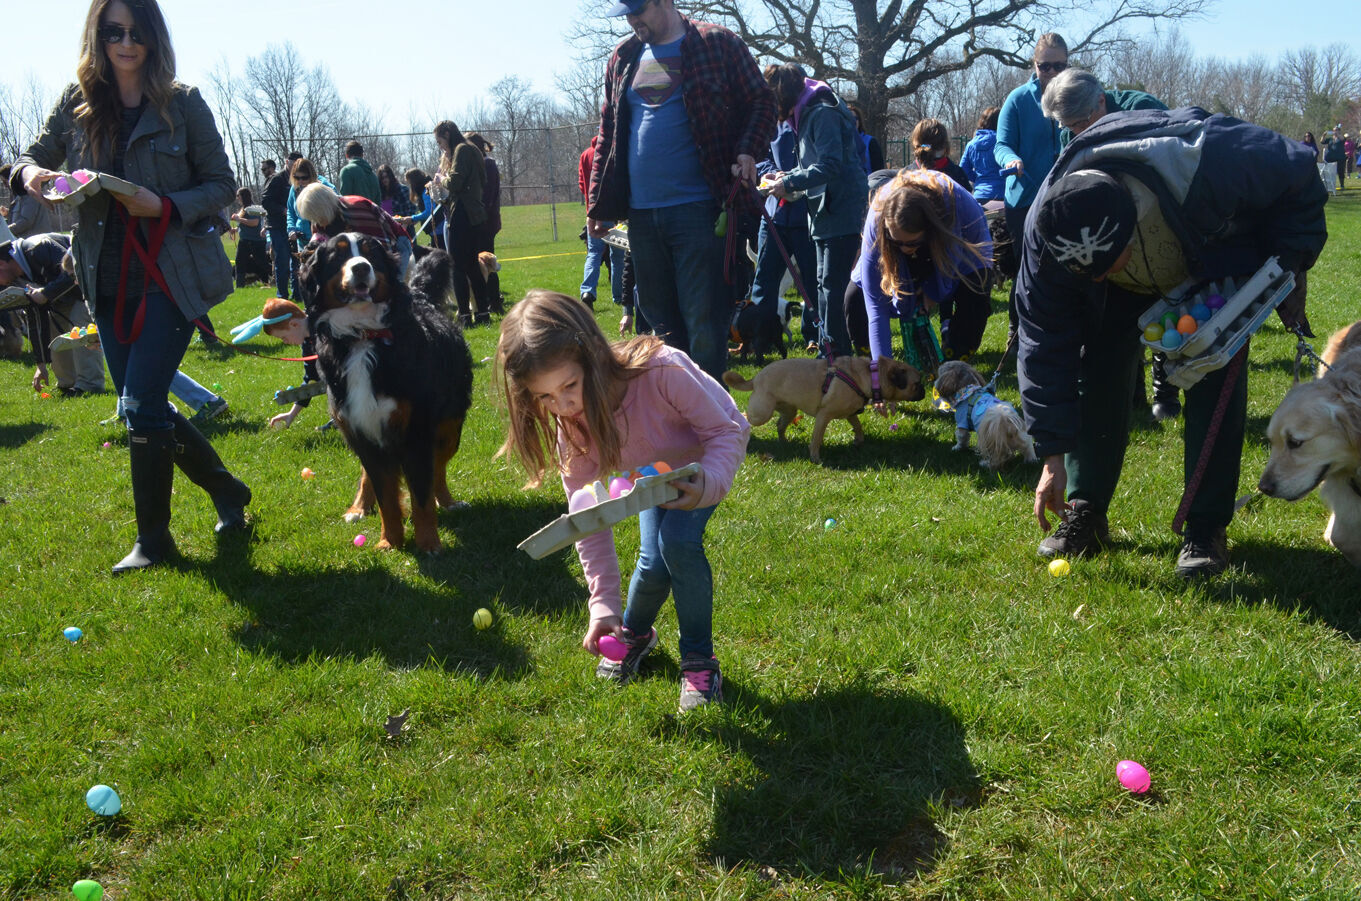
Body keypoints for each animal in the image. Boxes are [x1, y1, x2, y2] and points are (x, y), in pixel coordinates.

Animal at [299, 232, 473, 555]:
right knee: (368, 473)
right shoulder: (362, 427)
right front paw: (389, 542)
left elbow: (422, 495)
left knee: (439, 468)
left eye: (372, 255)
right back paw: (358, 508)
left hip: (449, 426)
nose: (361, 267)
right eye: (339, 256)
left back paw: (448, 501)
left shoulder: (418, 431)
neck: (363, 337)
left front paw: (428, 544)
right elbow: (386, 497)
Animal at [724, 356, 925, 465]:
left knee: (780, 424)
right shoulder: (824, 416)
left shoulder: (850, 413)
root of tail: (756, 378)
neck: (872, 375)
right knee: (748, 417)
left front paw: (859, 441)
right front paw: (815, 458)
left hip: (789, 411)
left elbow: (857, 425)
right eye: (917, 384)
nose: (923, 391)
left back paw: (784, 441)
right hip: (762, 412)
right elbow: (816, 439)